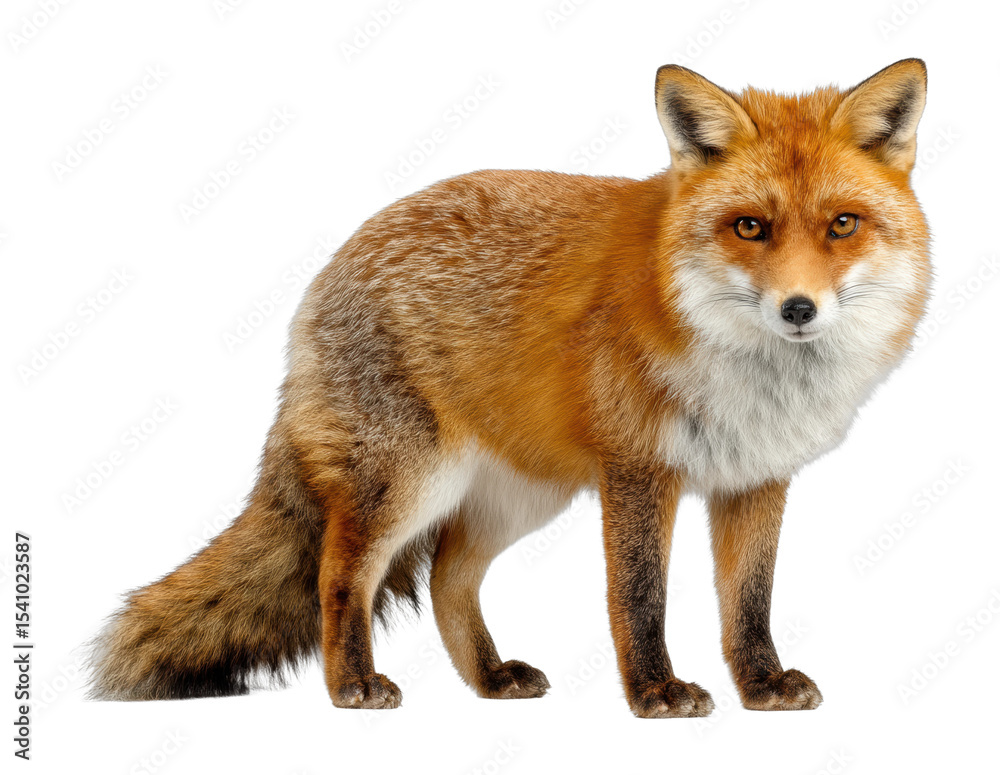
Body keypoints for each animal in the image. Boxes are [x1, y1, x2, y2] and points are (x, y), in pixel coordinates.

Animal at [89, 59, 930, 718]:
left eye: (843, 224)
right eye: (750, 227)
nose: (799, 309)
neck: (752, 374)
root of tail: (338, 259)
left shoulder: (755, 478)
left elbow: (748, 604)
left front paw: (760, 687)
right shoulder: (637, 471)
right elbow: (639, 598)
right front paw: (655, 693)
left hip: (517, 498)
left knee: (446, 577)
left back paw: (489, 677)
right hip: (407, 483)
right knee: (341, 572)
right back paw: (352, 684)